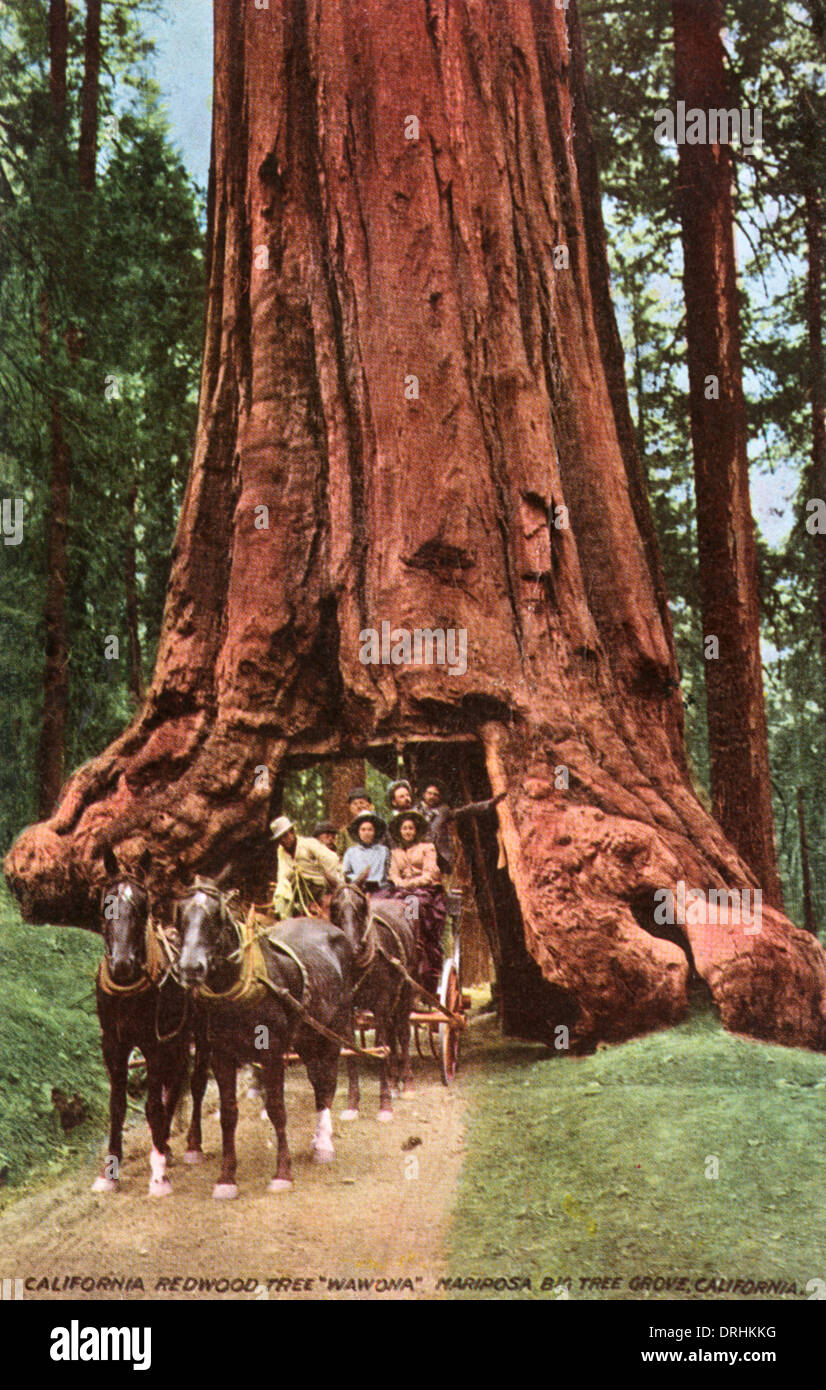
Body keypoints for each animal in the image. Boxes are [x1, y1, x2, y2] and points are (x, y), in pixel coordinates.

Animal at [93, 845, 208, 1195]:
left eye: (143, 906)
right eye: (106, 904)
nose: (122, 965)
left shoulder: (155, 1043)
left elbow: (152, 1105)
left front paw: (158, 1175)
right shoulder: (113, 1044)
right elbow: (117, 1105)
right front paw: (110, 1170)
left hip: (199, 1033)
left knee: (194, 1082)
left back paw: (188, 1144)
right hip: (177, 1037)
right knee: (176, 1082)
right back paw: (166, 1142)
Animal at [175, 878, 355, 1195]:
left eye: (215, 917)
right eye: (181, 915)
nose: (190, 967)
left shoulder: (271, 1054)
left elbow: (276, 1109)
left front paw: (282, 1172)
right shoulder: (221, 1055)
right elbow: (228, 1113)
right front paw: (226, 1177)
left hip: (334, 1029)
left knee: (326, 1085)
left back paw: (323, 1144)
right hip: (306, 1037)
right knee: (317, 1079)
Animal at [328, 884, 417, 1123]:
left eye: (361, 908)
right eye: (334, 907)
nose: (351, 947)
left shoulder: (381, 1004)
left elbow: (380, 1047)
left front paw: (385, 1106)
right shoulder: (346, 1009)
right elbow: (352, 1050)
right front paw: (352, 1104)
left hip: (405, 993)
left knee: (402, 1033)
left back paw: (407, 1084)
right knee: (393, 1036)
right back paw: (395, 1083)